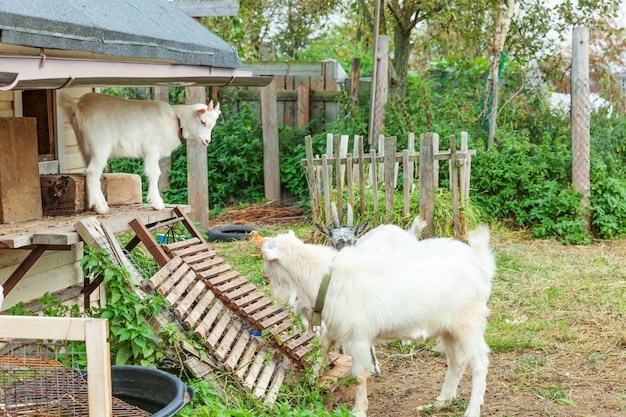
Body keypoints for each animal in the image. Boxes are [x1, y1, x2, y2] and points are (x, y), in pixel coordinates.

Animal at [58, 92, 219, 213]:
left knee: (91, 173)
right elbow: (154, 172)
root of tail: (80, 109)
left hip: (85, 148)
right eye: (203, 122)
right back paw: (100, 207)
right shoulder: (152, 148)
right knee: (92, 172)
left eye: (213, 124)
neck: (176, 121)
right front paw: (157, 203)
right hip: (100, 147)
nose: (207, 141)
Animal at [260, 226, 494, 416]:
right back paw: (440, 402)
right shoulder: (334, 329)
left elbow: (359, 375)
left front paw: (358, 410)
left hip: (469, 323)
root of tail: (480, 268)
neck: (325, 278)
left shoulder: (358, 338)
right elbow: (321, 354)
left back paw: (472, 410)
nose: (264, 276)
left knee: (479, 362)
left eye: (266, 258)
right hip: (449, 329)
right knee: (457, 362)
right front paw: (310, 383)